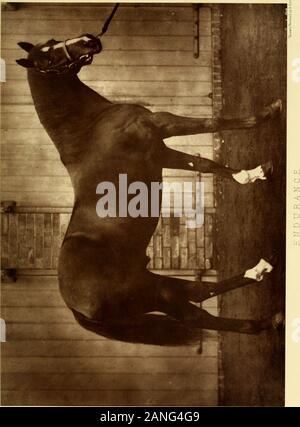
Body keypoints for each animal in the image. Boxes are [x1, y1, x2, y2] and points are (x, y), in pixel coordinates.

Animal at [16, 35, 284, 346]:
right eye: (48, 60)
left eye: (54, 41)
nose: (89, 41)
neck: (89, 125)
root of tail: (75, 307)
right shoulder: (161, 124)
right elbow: (212, 122)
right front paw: (269, 112)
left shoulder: (161, 152)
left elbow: (203, 164)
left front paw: (252, 174)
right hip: (153, 293)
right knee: (199, 314)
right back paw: (266, 315)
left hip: (151, 282)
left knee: (197, 292)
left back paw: (262, 270)